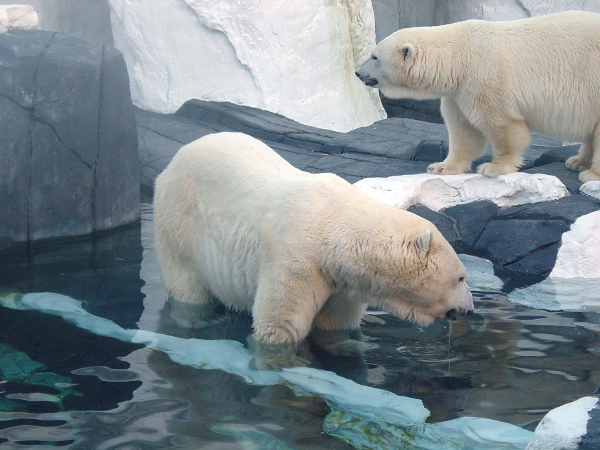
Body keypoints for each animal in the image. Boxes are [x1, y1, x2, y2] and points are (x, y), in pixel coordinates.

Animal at [155, 132, 474, 364]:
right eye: (460, 277)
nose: (469, 309)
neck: (333, 230)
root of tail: (176, 159)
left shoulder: (341, 281)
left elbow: (335, 322)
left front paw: (345, 347)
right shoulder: (295, 262)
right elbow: (280, 325)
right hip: (179, 224)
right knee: (188, 286)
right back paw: (199, 320)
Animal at [356, 10, 600, 183]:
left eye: (374, 57)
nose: (358, 72)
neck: (457, 55)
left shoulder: (485, 77)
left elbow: (501, 125)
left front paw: (493, 167)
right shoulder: (458, 91)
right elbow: (464, 131)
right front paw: (441, 166)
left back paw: (591, 174)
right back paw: (577, 162)